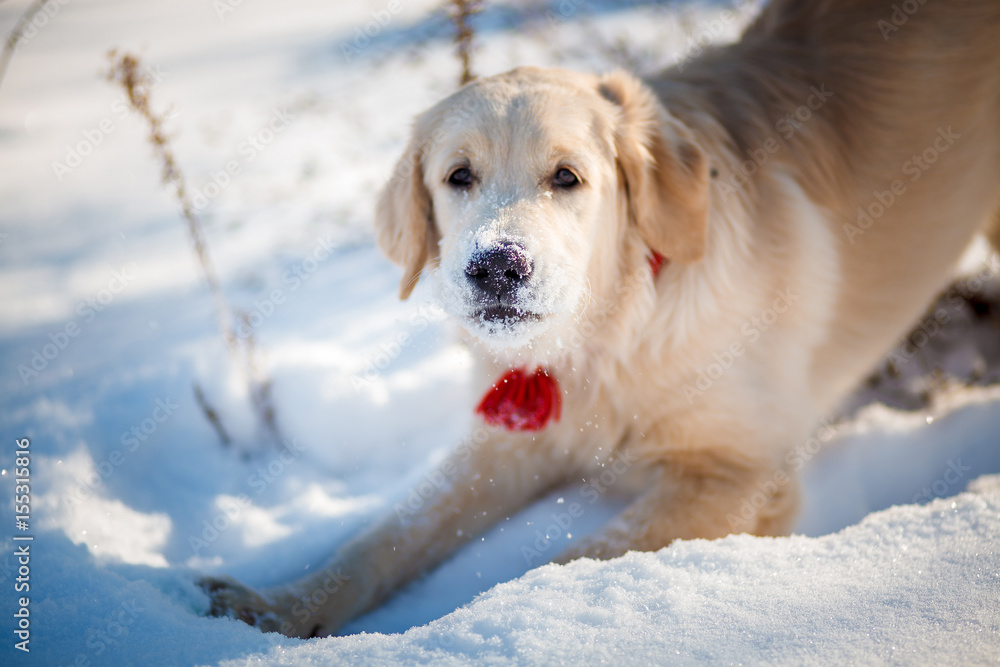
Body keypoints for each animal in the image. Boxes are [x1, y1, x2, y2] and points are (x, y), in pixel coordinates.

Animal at [201, 0, 1000, 640]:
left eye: (567, 177)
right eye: (459, 176)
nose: (497, 267)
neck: (607, 340)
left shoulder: (739, 473)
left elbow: (572, 558)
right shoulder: (512, 437)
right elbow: (387, 534)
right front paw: (276, 605)